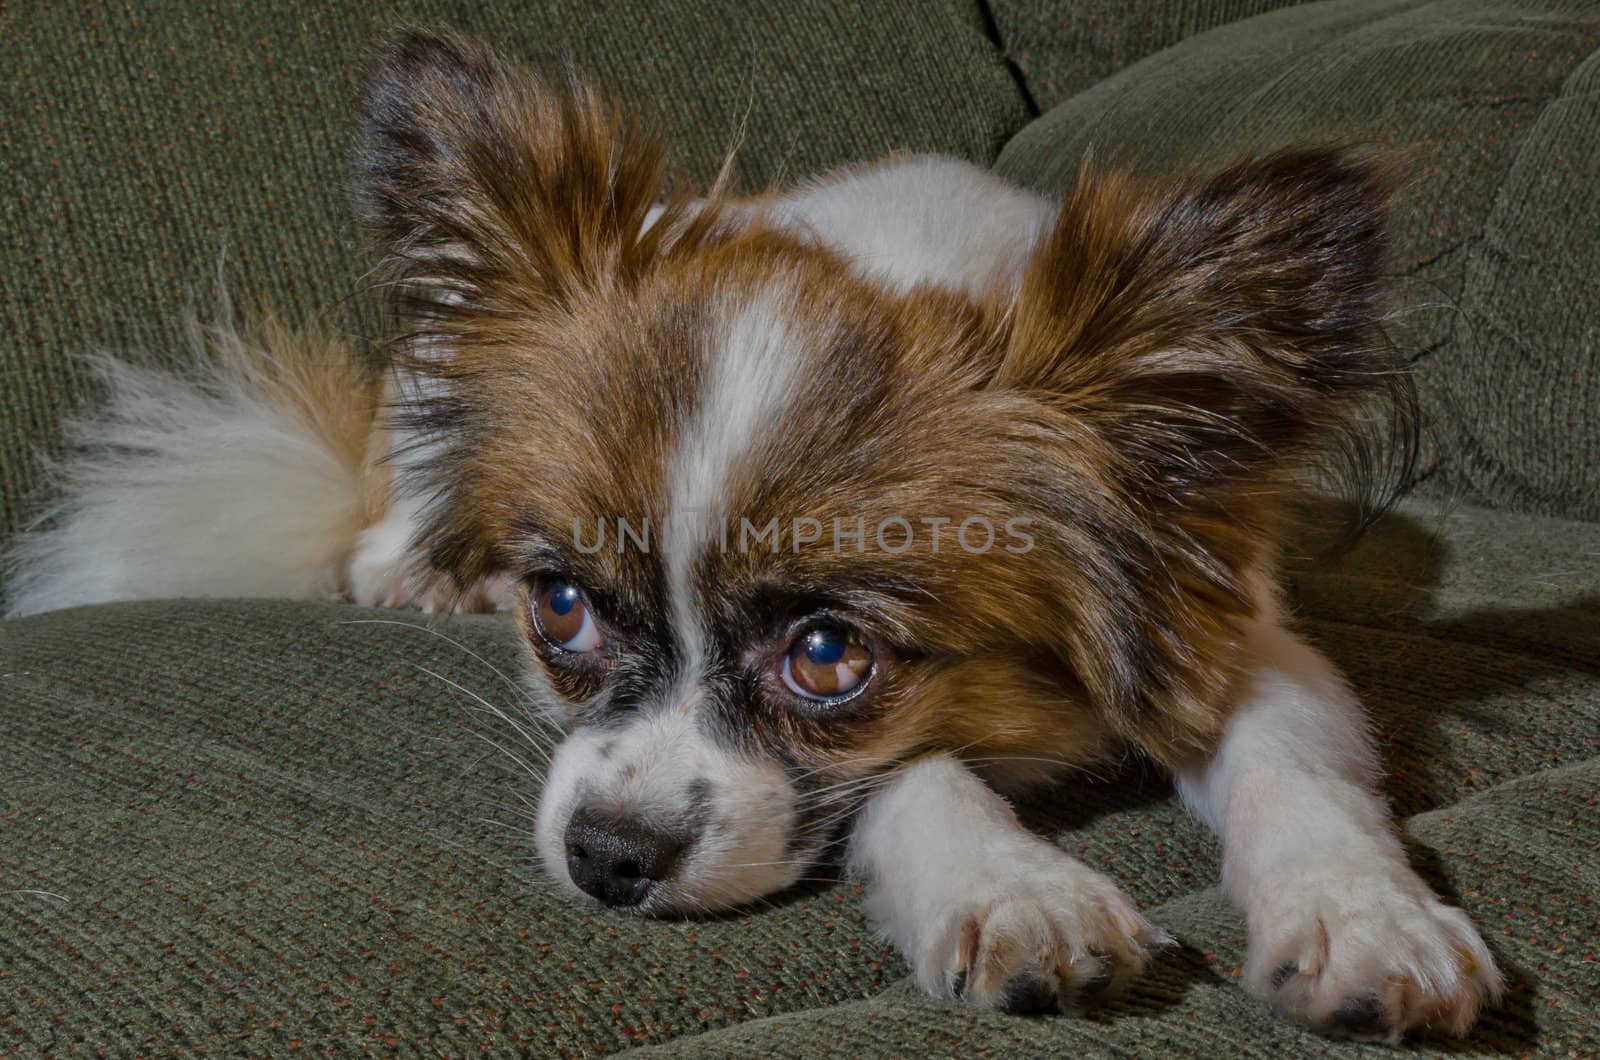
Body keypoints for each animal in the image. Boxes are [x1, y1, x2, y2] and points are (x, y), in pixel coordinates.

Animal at [3, 29, 1497, 1043]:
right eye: (561, 607)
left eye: (828, 655)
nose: (605, 858)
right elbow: (914, 777)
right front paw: (1013, 883)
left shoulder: (1242, 639)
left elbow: (1296, 774)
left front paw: (1367, 917)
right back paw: (413, 567)